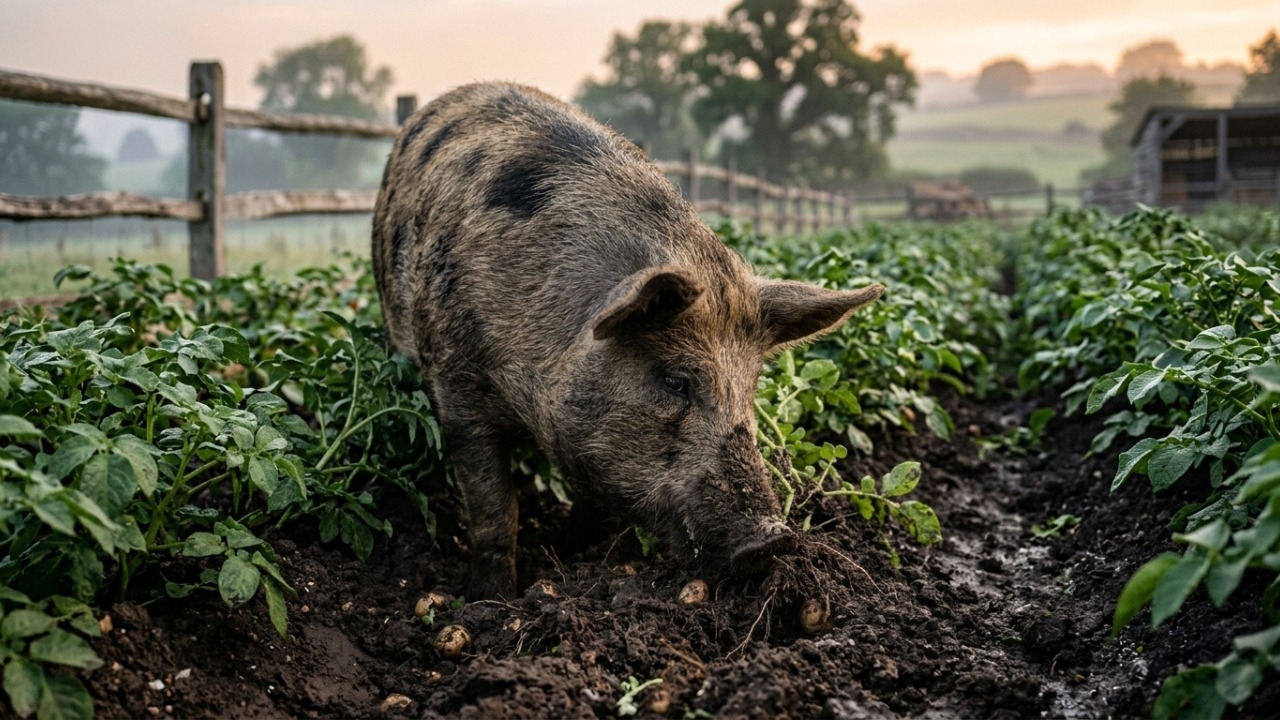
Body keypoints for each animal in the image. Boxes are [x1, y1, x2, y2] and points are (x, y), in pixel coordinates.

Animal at [371, 82, 882, 600]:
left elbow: (594, 503)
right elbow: (495, 509)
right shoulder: (456, 387)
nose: (773, 538)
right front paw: (492, 597)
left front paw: (561, 549)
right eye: (675, 380)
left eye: (751, 385)